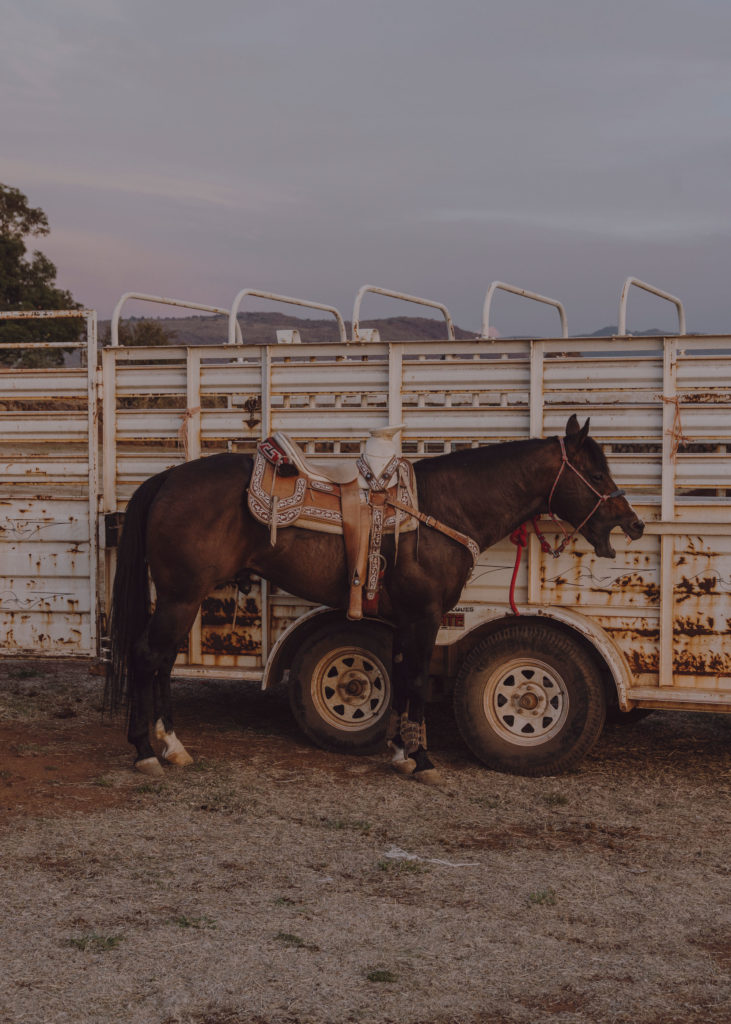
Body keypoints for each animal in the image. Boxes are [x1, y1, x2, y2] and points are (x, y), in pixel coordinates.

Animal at [105, 411, 638, 778]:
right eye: (596, 475)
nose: (632, 523)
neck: (447, 508)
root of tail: (168, 478)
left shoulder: (405, 620)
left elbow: (401, 677)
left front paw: (400, 751)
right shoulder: (425, 616)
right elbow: (418, 679)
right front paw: (422, 759)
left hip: (184, 598)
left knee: (163, 661)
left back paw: (172, 745)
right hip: (180, 595)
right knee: (147, 655)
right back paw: (146, 751)